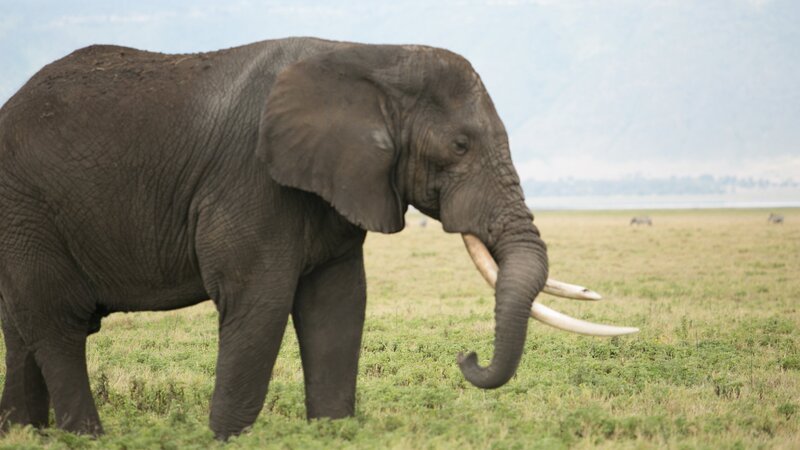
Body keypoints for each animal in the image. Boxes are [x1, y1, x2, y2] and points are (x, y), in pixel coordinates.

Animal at [0, 37, 636, 439]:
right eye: (460, 147)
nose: (466, 355)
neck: (374, 56)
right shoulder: (251, 177)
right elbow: (259, 303)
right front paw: (226, 438)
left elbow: (338, 305)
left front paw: (331, 432)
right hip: (27, 209)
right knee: (57, 326)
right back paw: (88, 437)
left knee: (22, 327)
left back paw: (27, 432)